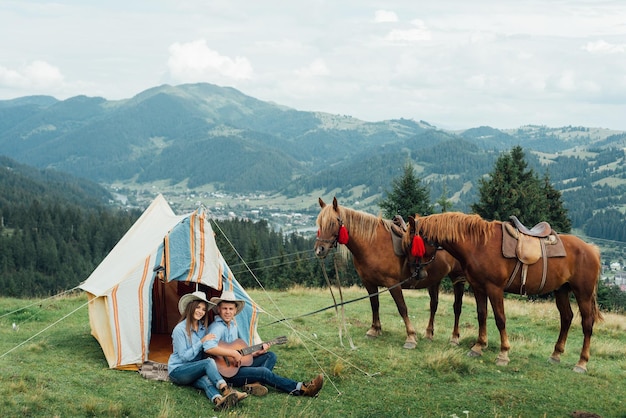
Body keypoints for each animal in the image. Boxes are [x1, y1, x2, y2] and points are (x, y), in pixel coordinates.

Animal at [312, 198, 464, 348]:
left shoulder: (393, 283)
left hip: (458, 278)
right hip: (434, 280)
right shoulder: (369, 283)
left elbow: (402, 308)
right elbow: (375, 305)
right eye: (319, 223)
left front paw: (411, 336)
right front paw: (374, 329)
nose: (320, 250)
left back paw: (454, 338)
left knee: (457, 307)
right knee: (434, 305)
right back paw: (429, 334)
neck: (372, 244)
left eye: (332, 223)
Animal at [402, 212, 604, 372]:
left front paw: (503, 354)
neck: (478, 244)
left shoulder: (495, 288)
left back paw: (581, 362)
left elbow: (500, 319)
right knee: (566, 318)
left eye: (411, 244)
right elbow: (482, 315)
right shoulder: (478, 287)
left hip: (583, 294)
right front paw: (478, 347)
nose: (415, 272)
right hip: (561, 290)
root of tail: (591, 249)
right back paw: (556, 354)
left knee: (587, 324)